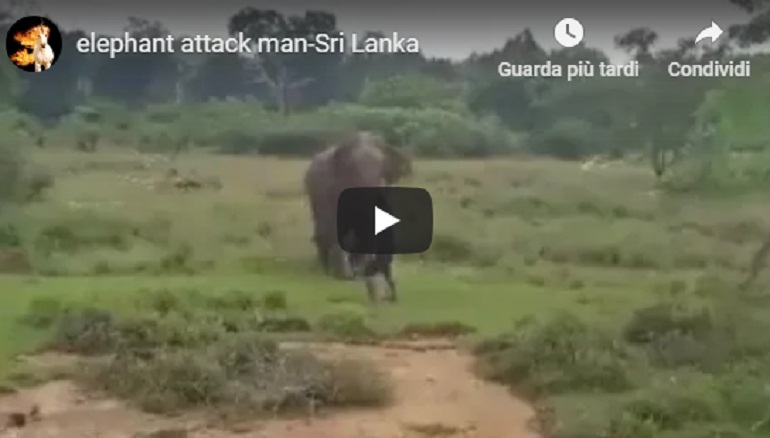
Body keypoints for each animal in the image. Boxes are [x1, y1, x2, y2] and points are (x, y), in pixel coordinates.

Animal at [303, 131, 411, 279]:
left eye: (382, 169)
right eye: (352, 167)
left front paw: (360, 273)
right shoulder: (333, 187)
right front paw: (346, 275)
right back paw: (326, 268)